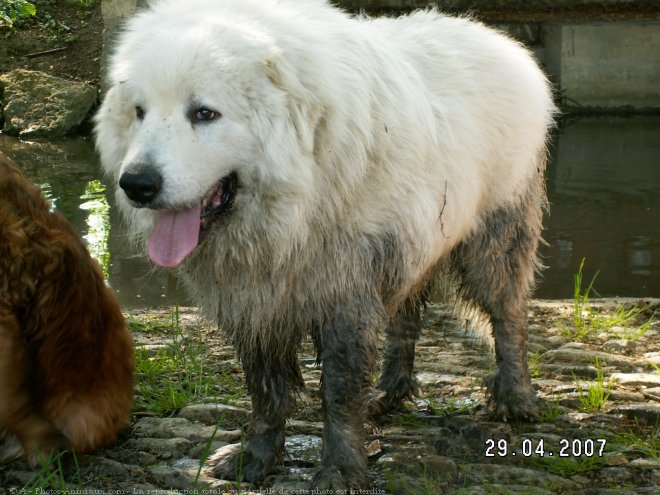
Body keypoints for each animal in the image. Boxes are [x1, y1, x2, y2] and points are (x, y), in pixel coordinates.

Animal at [95, 0, 556, 488]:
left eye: (204, 113)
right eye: (140, 111)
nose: (137, 184)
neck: (295, 207)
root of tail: (502, 43)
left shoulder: (344, 293)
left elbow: (338, 392)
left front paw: (339, 469)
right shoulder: (255, 301)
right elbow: (266, 389)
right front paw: (256, 459)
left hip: (495, 241)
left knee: (508, 317)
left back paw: (516, 397)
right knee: (407, 318)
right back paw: (390, 393)